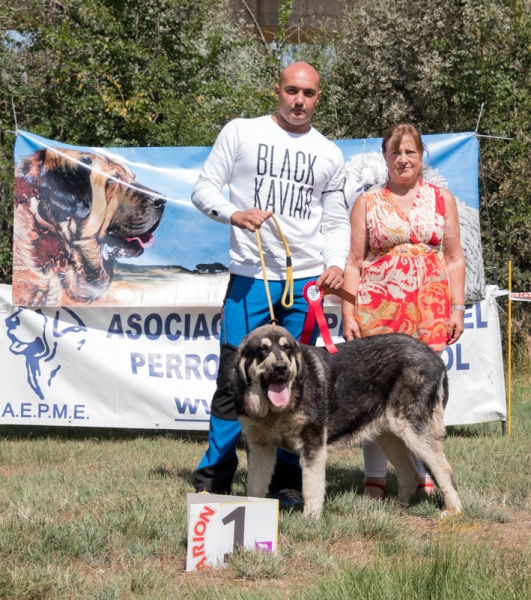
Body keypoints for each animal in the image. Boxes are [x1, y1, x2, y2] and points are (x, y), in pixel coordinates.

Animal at [233, 326, 462, 516]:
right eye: (262, 350)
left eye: (286, 348)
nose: (281, 367)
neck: (274, 410)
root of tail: (435, 358)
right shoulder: (259, 447)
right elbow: (255, 486)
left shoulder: (313, 445)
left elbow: (311, 487)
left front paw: (310, 519)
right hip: (390, 436)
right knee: (410, 473)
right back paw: (399, 507)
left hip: (415, 432)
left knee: (444, 471)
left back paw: (453, 512)